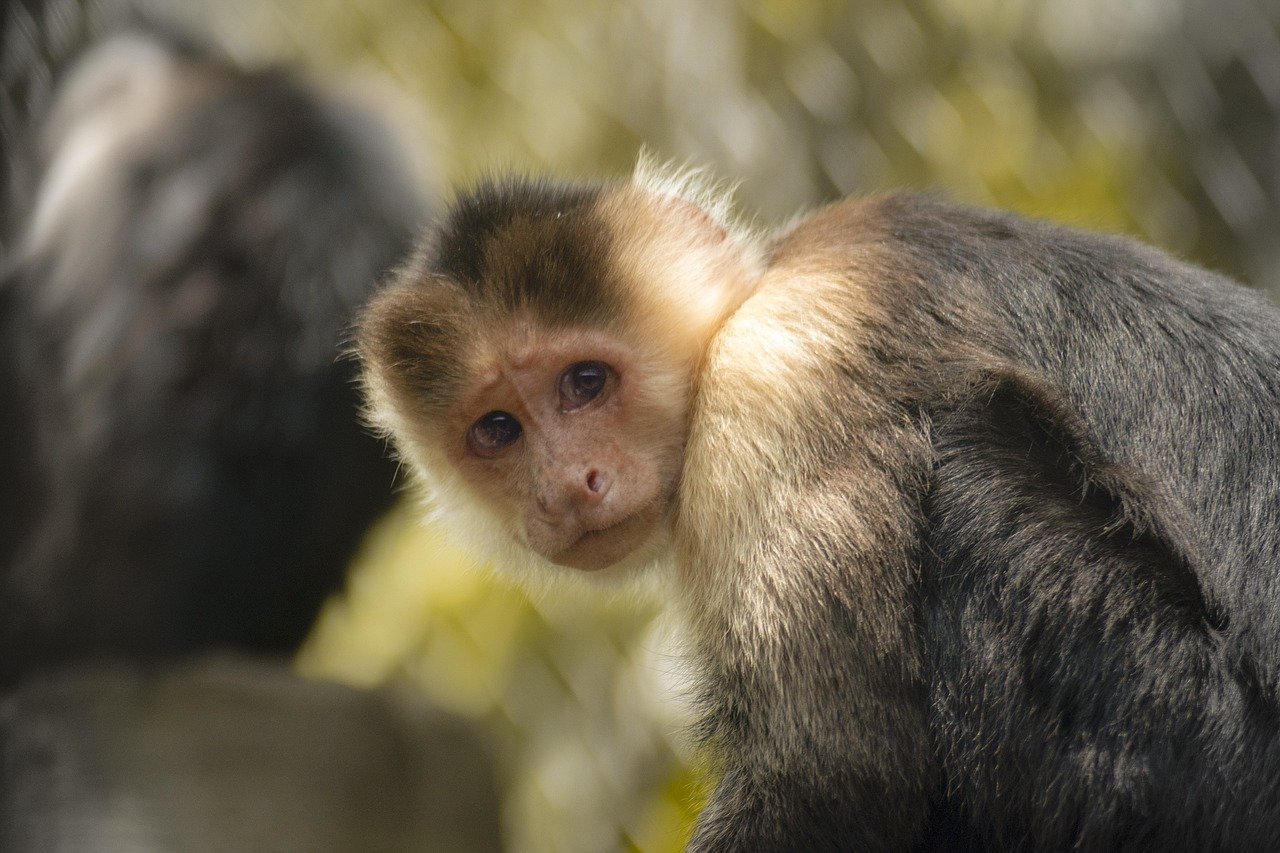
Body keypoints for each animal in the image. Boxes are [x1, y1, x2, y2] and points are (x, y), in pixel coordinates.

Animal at [358, 157, 1280, 845]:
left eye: (586, 382)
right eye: (498, 430)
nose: (566, 484)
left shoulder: (773, 373)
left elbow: (831, 775)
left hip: (1198, 760)